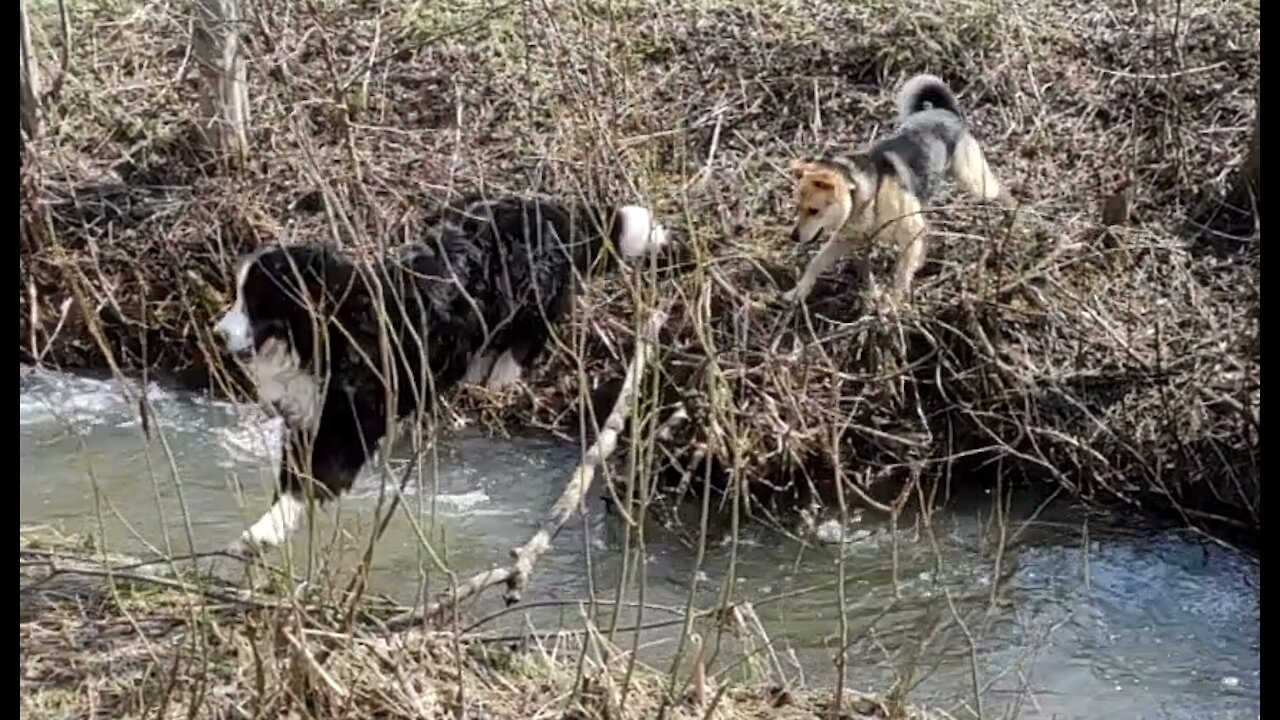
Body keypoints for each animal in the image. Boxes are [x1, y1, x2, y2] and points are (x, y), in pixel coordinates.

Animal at [209, 196, 670, 548]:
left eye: (253, 299)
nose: (217, 333)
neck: (329, 329)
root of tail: (548, 210)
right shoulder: (307, 418)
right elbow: (292, 474)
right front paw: (267, 527)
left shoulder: (345, 422)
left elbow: (310, 479)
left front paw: (263, 532)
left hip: (531, 293)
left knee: (535, 330)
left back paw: (499, 370)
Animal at [778, 73, 1008, 304]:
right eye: (797, 208)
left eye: (814, 211)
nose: (793, 237)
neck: (862, 192)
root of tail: (947, 111)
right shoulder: (845, 239)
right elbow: (815, 262)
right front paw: (798, 292)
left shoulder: (911, 233)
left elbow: (901, 275)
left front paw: (893, 303)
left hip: (974, 181)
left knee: (998, 190)